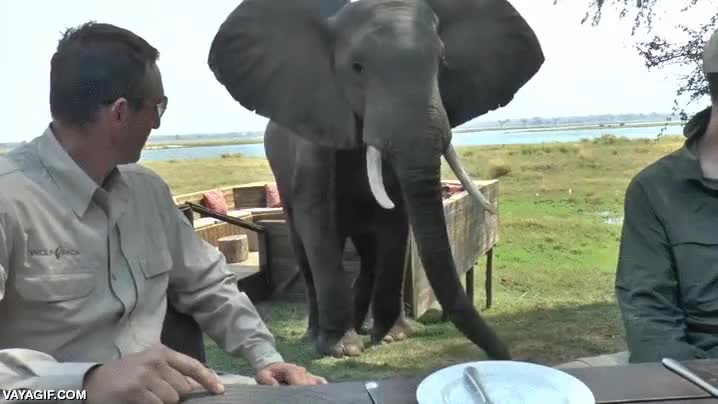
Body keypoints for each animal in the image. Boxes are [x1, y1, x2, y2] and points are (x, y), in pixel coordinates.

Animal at [208, 0, 544, 360]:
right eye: (357, 67)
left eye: (441, 63)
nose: (506, 356)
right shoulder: (317, 140)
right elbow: (320, 225)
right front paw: (341, 349)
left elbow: (396, 224)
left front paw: (394, 336)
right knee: (303, 246)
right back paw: (316, 334)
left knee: (369, 253)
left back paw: (363, 325)